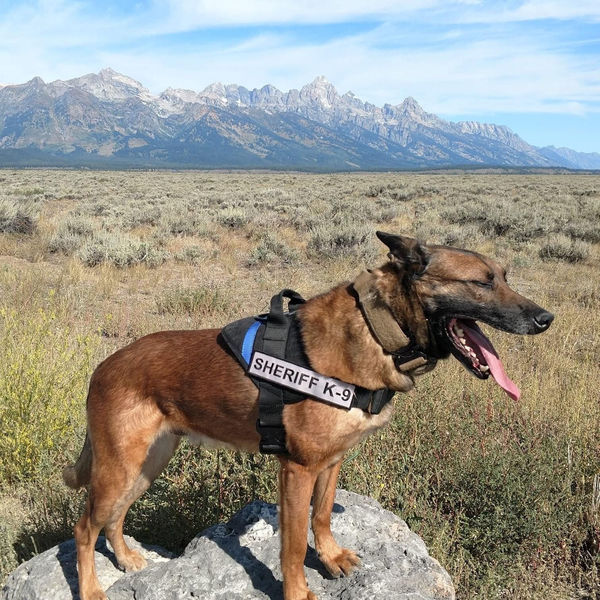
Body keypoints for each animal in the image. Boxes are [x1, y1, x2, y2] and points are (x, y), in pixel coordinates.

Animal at [62, 233, 552, 600]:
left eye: (504, 277)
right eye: (481, 283)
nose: (546, 318)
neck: (377, 329)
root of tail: (104, 366)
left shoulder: (330, 462)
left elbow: (323, 517)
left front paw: (331, 558)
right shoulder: (297, 469)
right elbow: (295, 544)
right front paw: (298, 592)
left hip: (147, 464)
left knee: (113, 517)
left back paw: (126, 558)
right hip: (120, 467)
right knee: (85, 527)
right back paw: (91, 589)